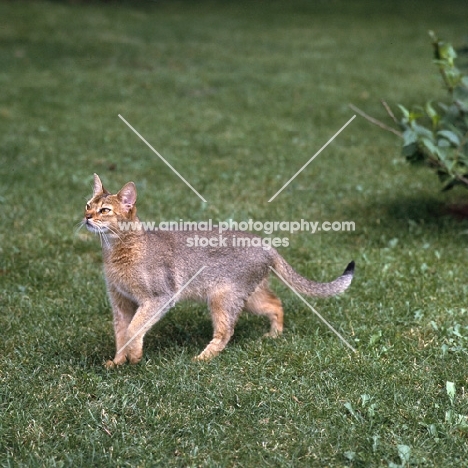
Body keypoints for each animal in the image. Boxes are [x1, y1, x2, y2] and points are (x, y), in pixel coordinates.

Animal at [84, 173, 354, 366]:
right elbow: (121, 333)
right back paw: (274, 335)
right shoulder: (120, 302)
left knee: (226, 332)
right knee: (276, 303)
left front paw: (135, 356)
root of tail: (266, 244)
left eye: (105, 210)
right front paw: (118, 362)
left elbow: (133, 329)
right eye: (87, 205)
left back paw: (202, 358)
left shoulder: (158, 298)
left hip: (222, 298)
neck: (118, 252)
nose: (86, 217)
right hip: (249, 297)